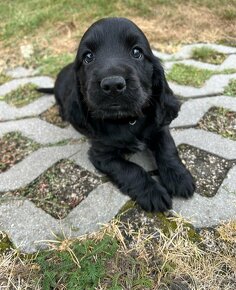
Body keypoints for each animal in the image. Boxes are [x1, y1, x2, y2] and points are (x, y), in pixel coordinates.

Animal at [38, 18, 195, 212]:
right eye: (88, 57)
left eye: (136, 52)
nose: (113, 85)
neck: (127, 120)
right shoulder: (102, 154)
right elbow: (130, 169)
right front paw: (152, 192)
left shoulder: (159, 127)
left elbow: (167, 148)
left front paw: (179, 177)